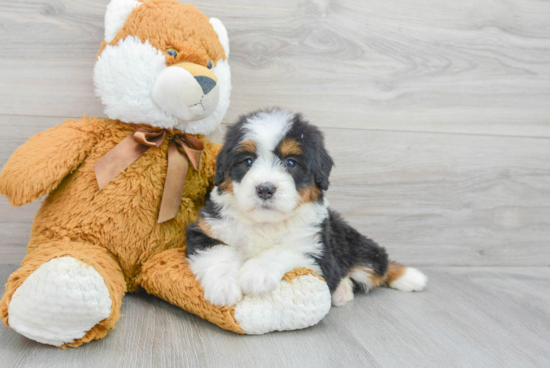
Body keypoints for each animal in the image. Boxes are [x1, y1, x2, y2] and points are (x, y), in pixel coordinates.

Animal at [188, 109, 430, 308]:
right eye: (248, 161)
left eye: (290, 163)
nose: (265, 189)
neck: (265, 223)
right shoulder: (205, 229)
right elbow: (220, 253)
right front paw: (223, 288)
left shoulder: (315, 246)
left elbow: (283, 250)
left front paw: (256, 273)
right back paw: (343, 291)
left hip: (350, 243)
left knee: (377, 262)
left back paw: (410, 277)